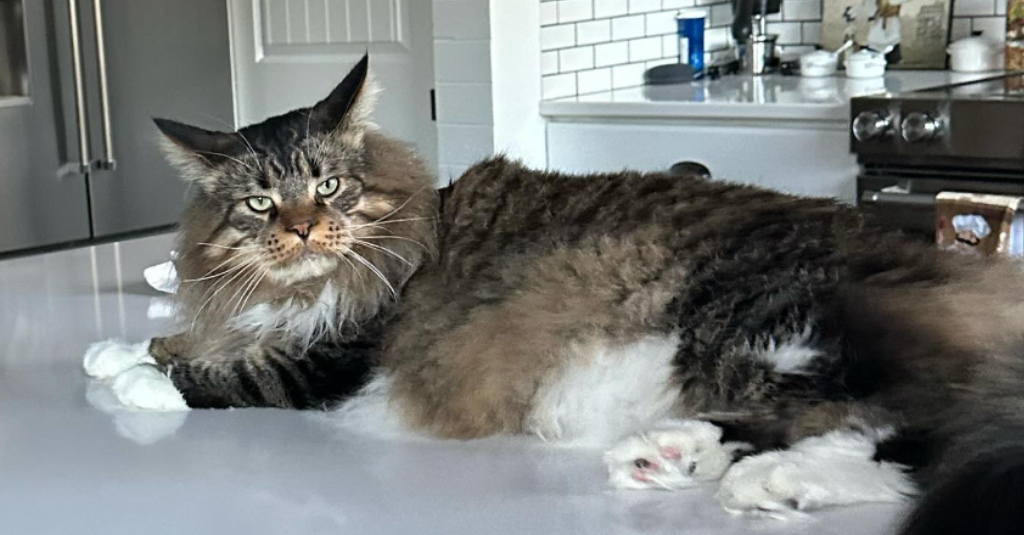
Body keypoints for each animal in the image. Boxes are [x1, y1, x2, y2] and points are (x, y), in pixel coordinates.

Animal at [88, 56, 1024, 528]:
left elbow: (224, 372)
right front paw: (127, 340)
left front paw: (134, 373)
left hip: (757, 319)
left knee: (917, 430)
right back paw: (686, 458)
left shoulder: (334, 359)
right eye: (259, 202)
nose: (305, 230)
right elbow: (198, 330)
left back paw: (760, 477)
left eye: (329, 187)